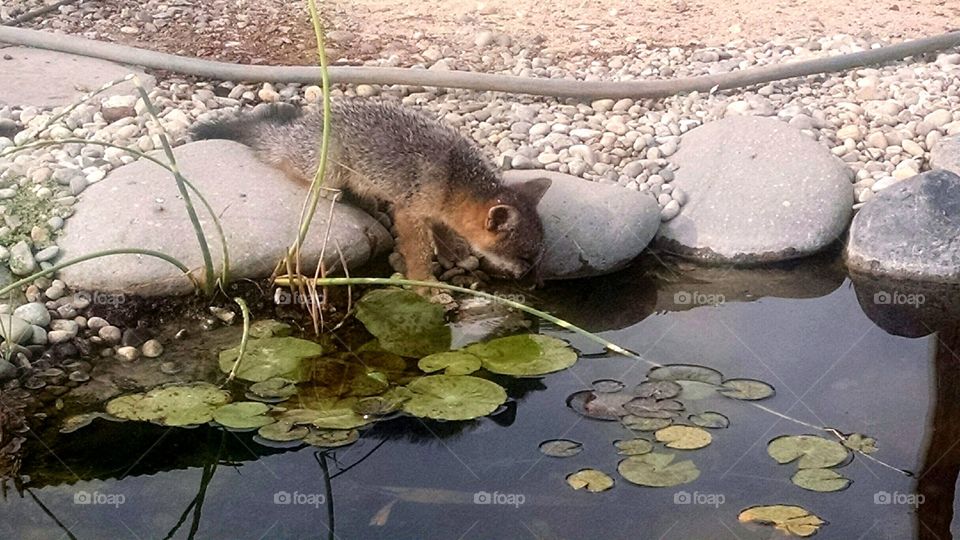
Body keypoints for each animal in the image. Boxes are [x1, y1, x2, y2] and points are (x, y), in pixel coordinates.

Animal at [189, 99, 552, 288]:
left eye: (536, 257)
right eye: (524, 258)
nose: (533, 283)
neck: (456, 176)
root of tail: (298, 127)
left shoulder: (435, 210)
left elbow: (446, 233)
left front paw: (454, 253)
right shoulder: (410, 213)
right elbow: (419, 252)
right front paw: (427, 285)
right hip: (330, 167)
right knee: (293, 169)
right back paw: (330, 193)